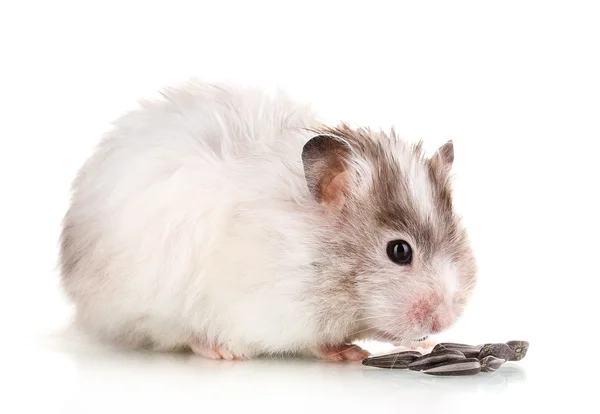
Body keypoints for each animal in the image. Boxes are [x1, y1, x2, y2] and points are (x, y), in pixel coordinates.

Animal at [57, 79, 478, 360]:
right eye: (399, 251)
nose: (445, 321)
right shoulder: (278, 313)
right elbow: (314, 341)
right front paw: (347, 352)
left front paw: (426, 345)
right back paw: (219, 352)